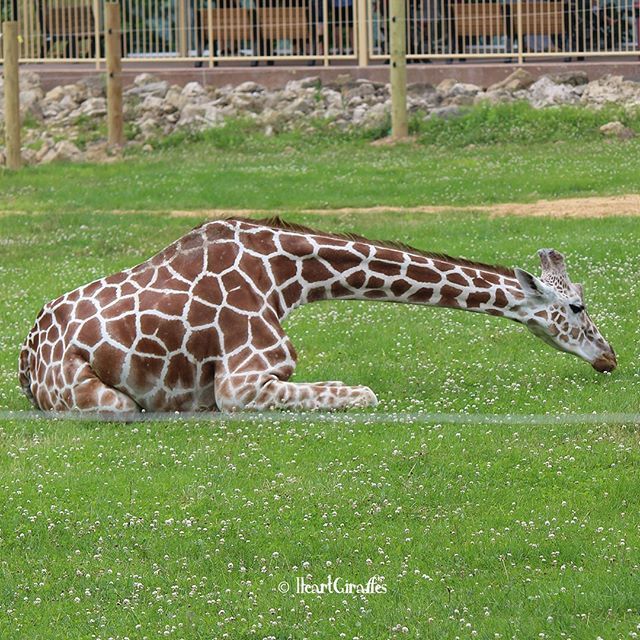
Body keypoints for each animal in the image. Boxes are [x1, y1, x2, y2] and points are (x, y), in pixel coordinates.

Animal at [19, 217, 617, 415]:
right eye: (577, 305)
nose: (609, 356)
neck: (286, 279)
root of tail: (26, 364)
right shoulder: (241, 384)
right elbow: (364, 395)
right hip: (101, 398)